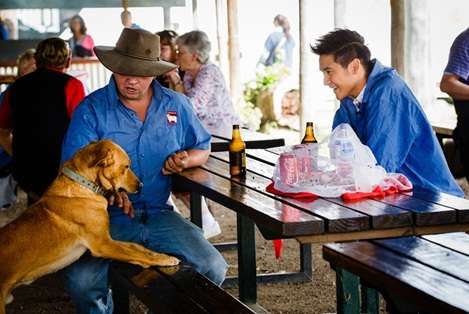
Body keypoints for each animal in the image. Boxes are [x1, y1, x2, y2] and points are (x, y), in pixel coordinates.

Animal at [0, 140, 179, 314]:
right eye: (126, 166)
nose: (141, 185)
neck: (84, 185)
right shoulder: (104, 245)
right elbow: (137, 254)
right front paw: (164, 260)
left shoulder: (110, 240)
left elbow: (136, 248)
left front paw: (160, 255)